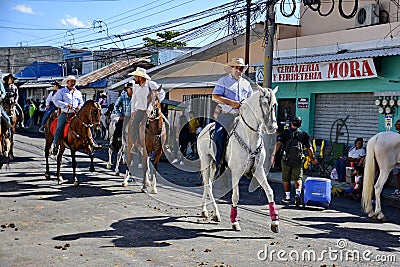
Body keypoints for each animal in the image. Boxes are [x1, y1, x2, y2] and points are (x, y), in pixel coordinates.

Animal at [196, 86, 278, 232]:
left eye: (275, 105)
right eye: (264, 103)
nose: (272, 127)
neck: (250, 137)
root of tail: (204, 129)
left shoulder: (258, 170)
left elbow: (269, 192)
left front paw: (275, 221)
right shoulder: (236, 172)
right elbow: (235, 196)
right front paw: (234, 221)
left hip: (214, 165)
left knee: (208, 184)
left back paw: (205, 211)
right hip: (205, 161)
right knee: (208, 185)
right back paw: (215, 213)